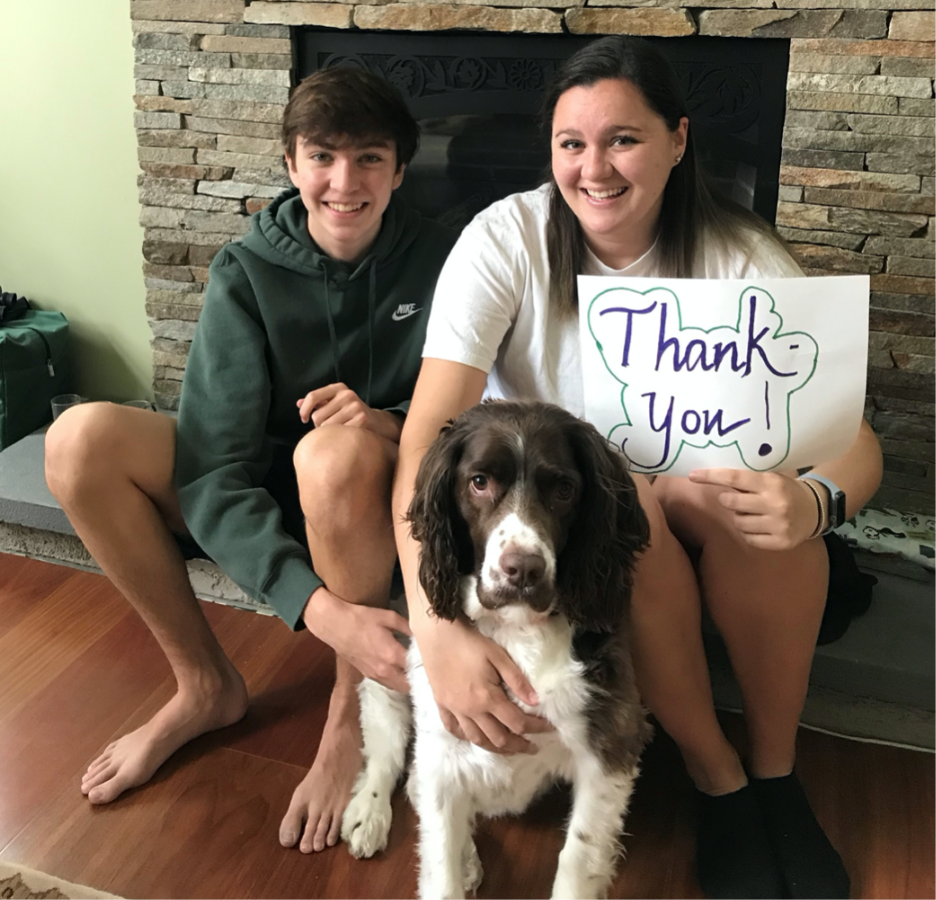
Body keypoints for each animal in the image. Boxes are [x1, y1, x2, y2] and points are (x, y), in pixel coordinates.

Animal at [340, 402, 656, 900]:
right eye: (479, 481)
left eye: (564, 489)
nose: (523, 570)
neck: (516, 632)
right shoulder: (442, 745)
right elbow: (440, 868)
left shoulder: (612, 745)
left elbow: (578, 859)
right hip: (390, 679)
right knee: (390, 755)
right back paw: (370, 814)